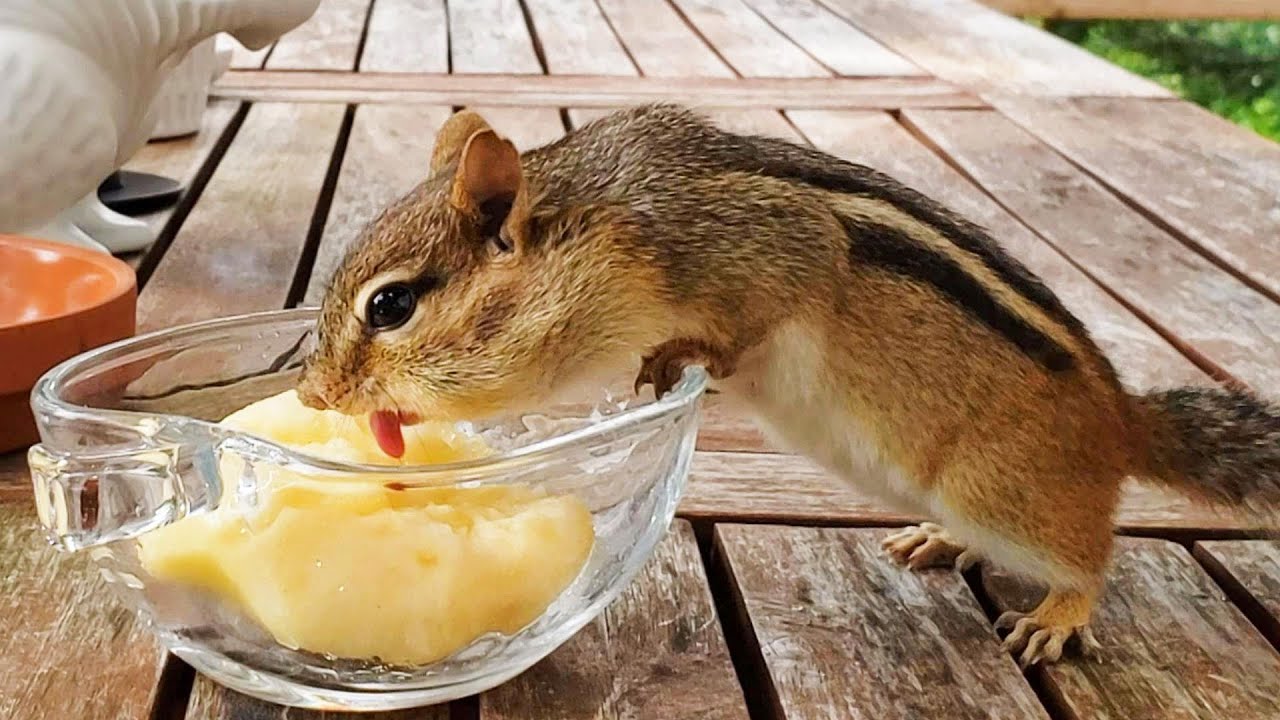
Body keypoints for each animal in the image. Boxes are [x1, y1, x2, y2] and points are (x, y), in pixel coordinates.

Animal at [297, 104, 1280, 667]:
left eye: (391, 305)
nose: (313, 395)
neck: (604, 223)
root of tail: (1122, 417)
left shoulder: (775, 246)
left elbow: (758, 313)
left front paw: (678, 358)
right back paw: (939, 540)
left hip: (1003, 487)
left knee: (1088, 553)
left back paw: (1062, 609)